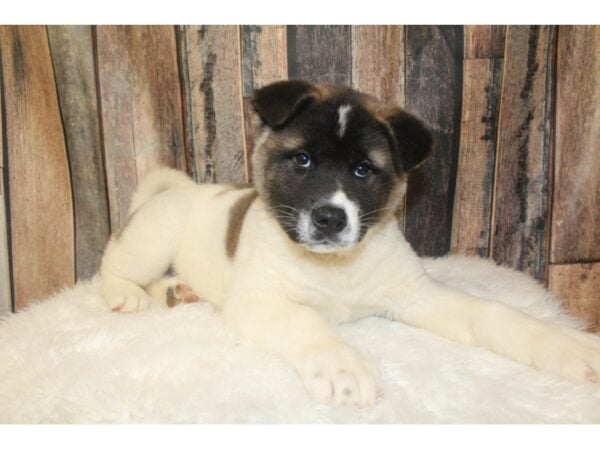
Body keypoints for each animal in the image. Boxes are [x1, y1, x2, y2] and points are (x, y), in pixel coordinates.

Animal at [102, 80, 600, 408]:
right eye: (302, 160)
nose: (329, 218)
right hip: (154, 237)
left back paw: (177, 291)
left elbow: (493, 313)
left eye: (363, 170)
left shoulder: (416, 295)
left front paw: (567, 346)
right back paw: (128, 293)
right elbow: (307, 322)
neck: (336, 266)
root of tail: (183, 190)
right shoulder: (259, 302)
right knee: (111, 265)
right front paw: (342, 366)